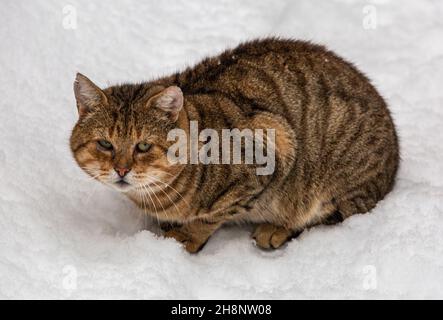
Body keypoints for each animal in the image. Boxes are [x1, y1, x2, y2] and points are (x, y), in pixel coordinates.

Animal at [69, 37, 398, 252]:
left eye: (143, 146)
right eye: (105, 144)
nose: (121, 170)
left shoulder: (271, 149)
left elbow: (210, 217)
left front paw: (188, 237)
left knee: (333, 217)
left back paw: (275, 229)